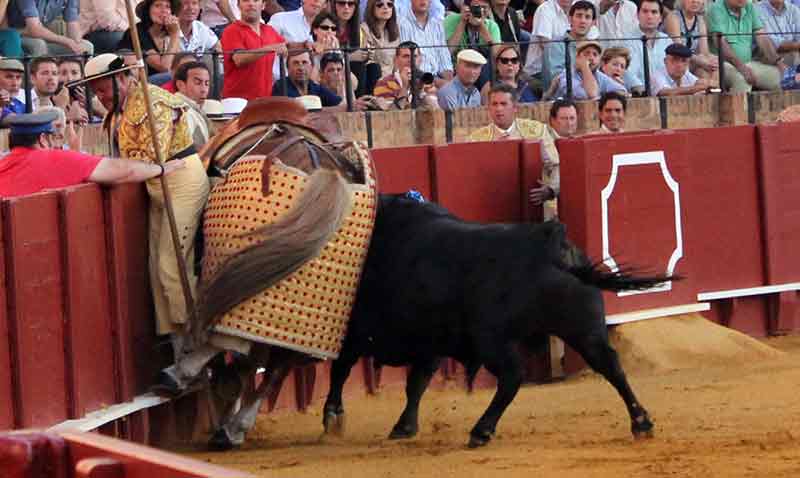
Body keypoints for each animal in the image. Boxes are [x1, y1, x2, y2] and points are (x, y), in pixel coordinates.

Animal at [318, 192, 668, 446]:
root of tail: (549, 240)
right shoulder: (430, 343)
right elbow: (416, 383)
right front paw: (404, 426)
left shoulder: (353, 332)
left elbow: (342, 369)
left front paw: (333, 418)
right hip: (584, 329)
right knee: (611, 365)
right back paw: (641, 422)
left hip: (491, 340)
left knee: (512, 376)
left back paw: (481, 431)